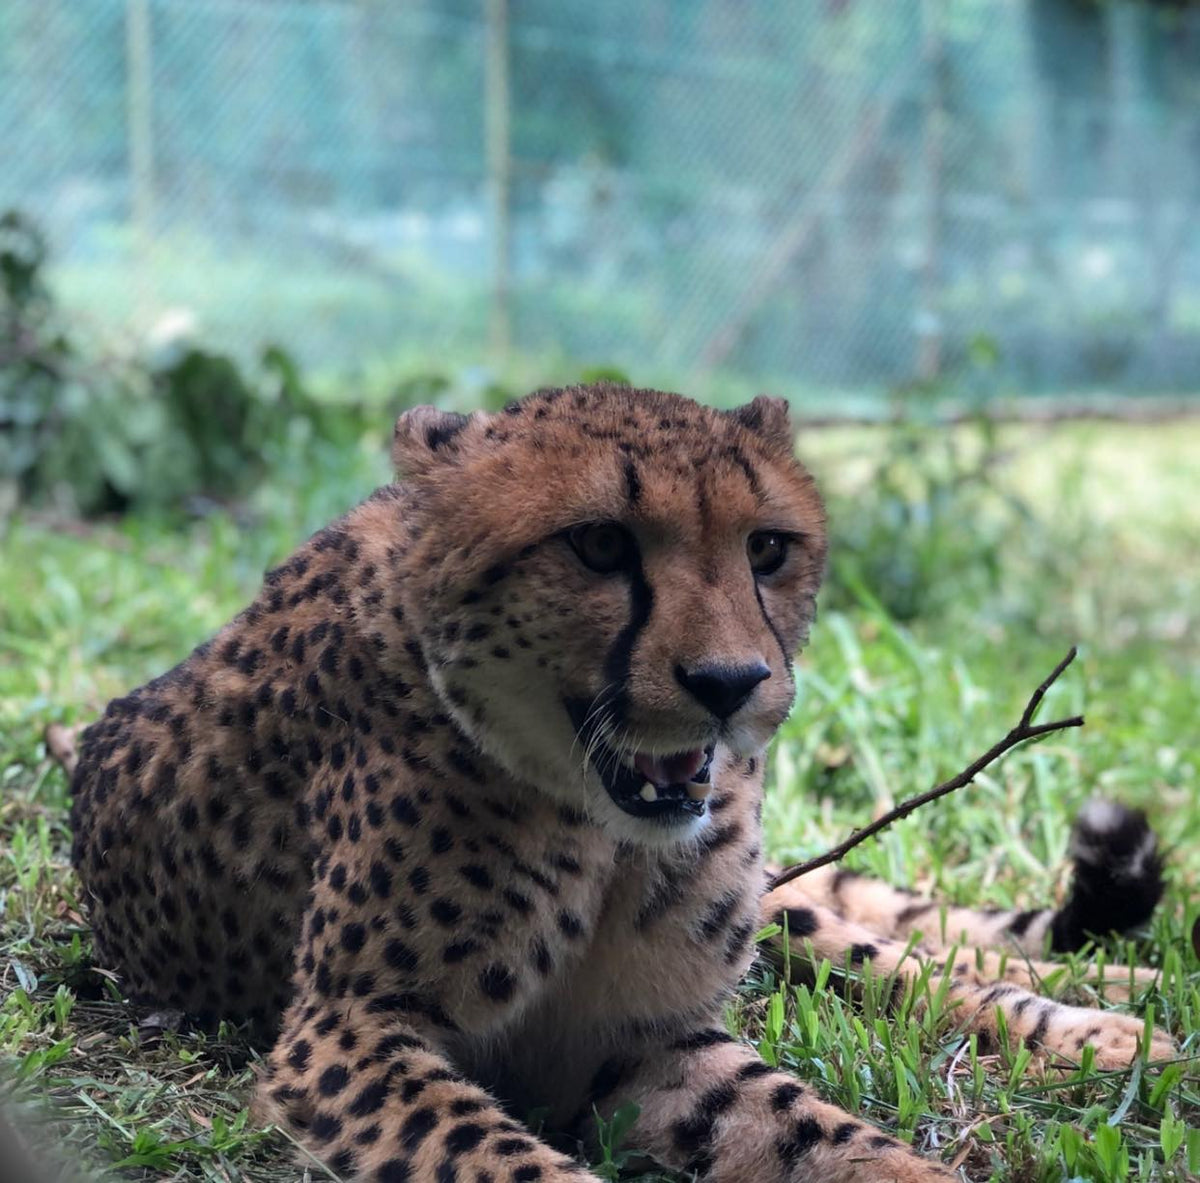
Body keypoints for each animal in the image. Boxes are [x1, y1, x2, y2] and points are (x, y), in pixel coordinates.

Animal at [67, 382, 1174, 1183]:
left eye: (767, 547)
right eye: (599, 544)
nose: (730, 684)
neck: (598, 832)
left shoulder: (644, 1032)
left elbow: (823, 1127)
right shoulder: (348, 1030)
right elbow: (506, 1160)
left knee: (896, 949)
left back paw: (1114, 1017)